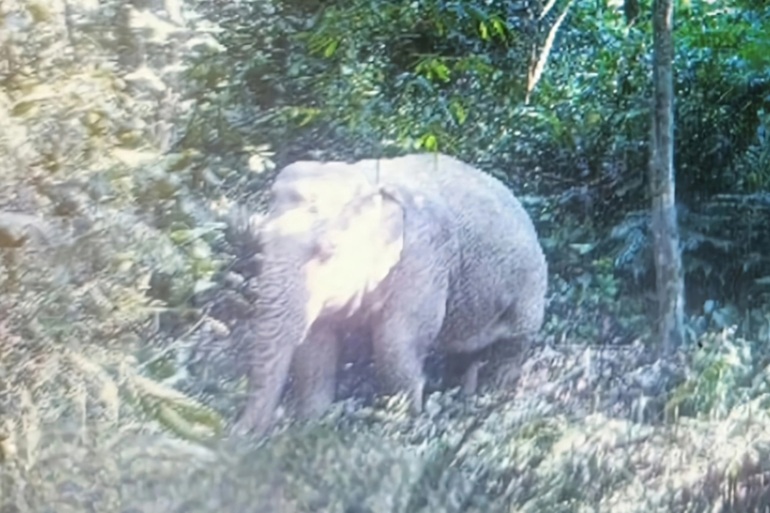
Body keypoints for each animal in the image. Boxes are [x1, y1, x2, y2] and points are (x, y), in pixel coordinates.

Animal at [234, 152, 544, 436]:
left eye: (328, 251)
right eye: (260, 240)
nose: (238, 434)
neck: (366, 182)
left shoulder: (423, 258)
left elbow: (395, 341)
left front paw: (399, 428)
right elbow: (316, 345)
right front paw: (312, 422)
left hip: (530, 287)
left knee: (515, 341)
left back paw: (494, 391)